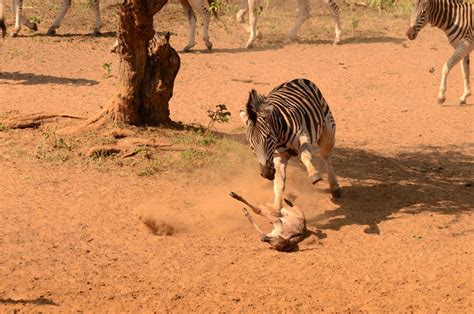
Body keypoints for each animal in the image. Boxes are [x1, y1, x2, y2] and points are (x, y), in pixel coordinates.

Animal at [241, 78, 340, 215]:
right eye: (251, 144)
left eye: (268, 137)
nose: (266, 174)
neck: (279, 137)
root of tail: (296, 79)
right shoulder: (278, 157)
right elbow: (279, 183)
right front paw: (276, 210)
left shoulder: (303, 137)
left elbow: (305, 157)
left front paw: (314, 175)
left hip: (328, 129)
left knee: (326, 155)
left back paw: (334, 186)